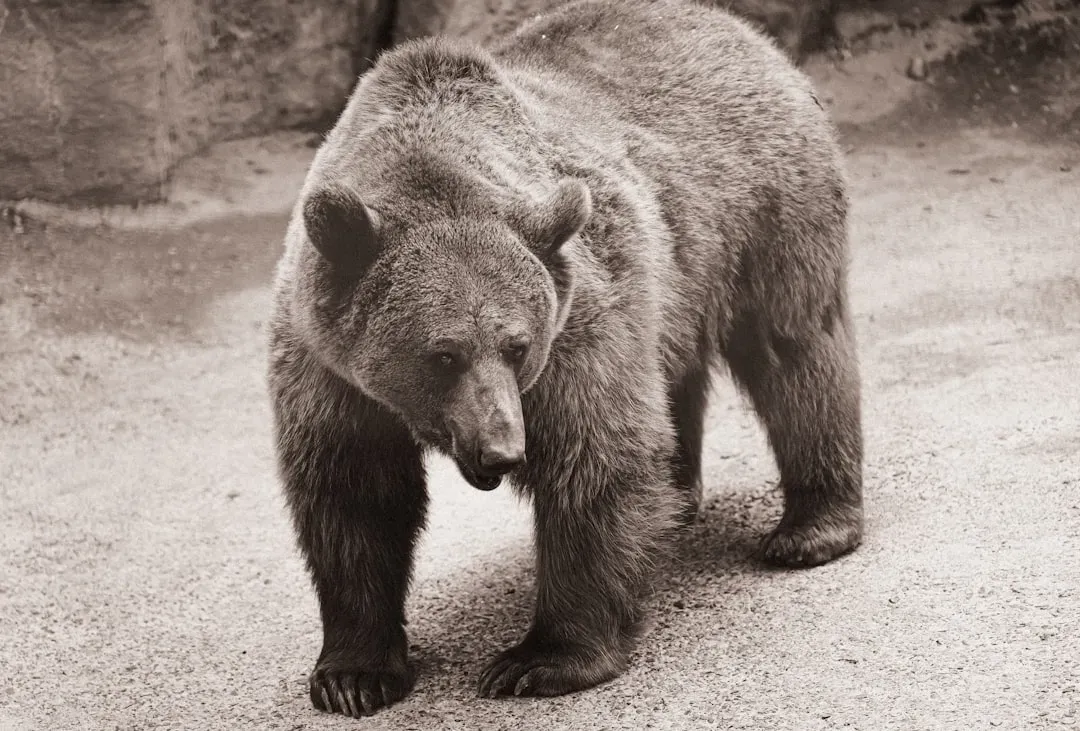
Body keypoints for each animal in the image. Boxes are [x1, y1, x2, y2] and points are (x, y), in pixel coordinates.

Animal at [267, 0, 863, 717]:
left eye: (516, 344)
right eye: (442, 354)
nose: (502, 449)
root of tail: (738, 29)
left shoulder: (576, 323)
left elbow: (596, 457)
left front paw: (540, 659)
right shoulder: (327, 367)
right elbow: (353, 494)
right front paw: (353, 674)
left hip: (765, 209)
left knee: (796, 352)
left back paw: (810, 528)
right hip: (681, 279)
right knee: (678, 381)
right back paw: (679, 496)